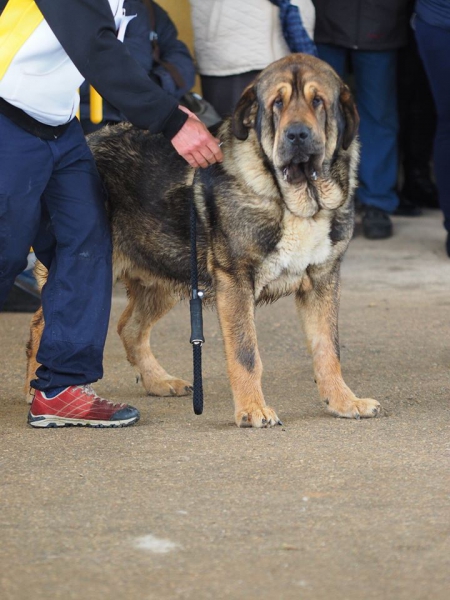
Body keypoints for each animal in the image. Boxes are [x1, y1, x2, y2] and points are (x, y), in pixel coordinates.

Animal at [26, 52, 380, 426]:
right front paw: (252, 408)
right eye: (277, 103)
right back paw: (39, 394)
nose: (297, 135)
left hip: (166, 272)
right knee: (42, 327)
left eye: (318, 101)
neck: (296, 199)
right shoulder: (236, 281)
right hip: (93, 268)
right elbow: (245, 353)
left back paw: (158, 381)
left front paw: (343, 401)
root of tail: (87, 140)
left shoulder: (322, 281)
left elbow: (328, 349)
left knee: (129, 327)